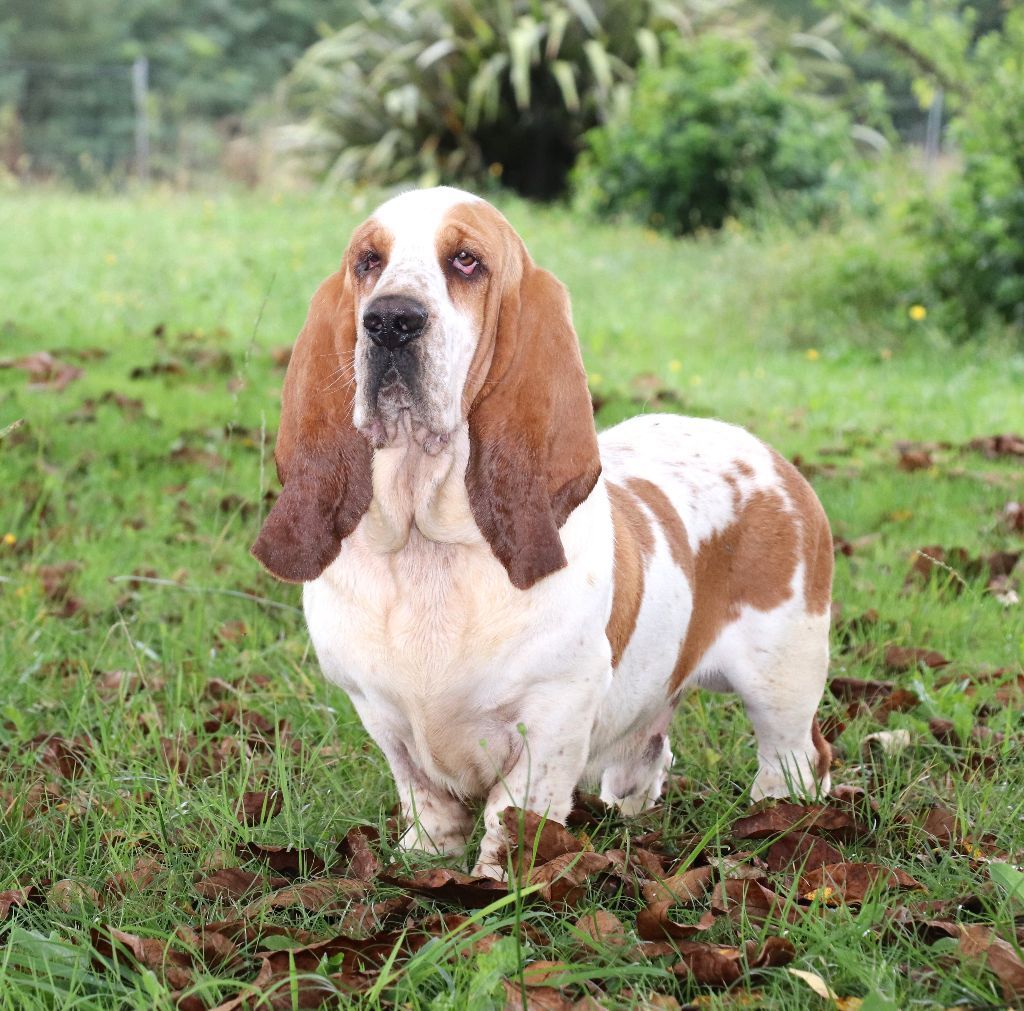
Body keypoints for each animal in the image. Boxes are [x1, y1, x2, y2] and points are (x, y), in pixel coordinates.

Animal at [253, 183, 831, 876]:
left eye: (467, 261)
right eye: (368, 261)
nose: (390, 321)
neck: (429, 543)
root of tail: (770, 456)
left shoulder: (553, 714)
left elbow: (513, 816)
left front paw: (493, 883)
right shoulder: (381, 713)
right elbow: (425, 799)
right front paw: (423, 862)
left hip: (784, 679)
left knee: (799, 756)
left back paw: (781, 823)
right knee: (649, 754)